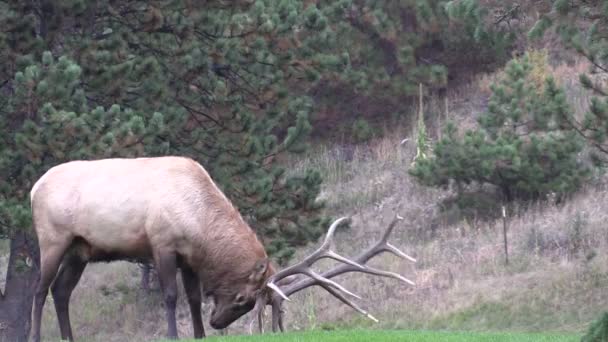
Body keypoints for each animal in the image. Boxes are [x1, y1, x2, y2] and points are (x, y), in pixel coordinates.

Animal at [29, 156, 418, 340]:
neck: (197, 222)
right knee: (40, 289)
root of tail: (34, 188)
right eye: (245, 298)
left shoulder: (188, 257)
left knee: (61, 291)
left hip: (81, 250)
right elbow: (170, 295)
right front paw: (173, 335)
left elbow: (192, 298)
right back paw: (35, 336)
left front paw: (199, 333)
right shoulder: (161, 243)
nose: (219, 324)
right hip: (52, 239)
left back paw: (68, 338)